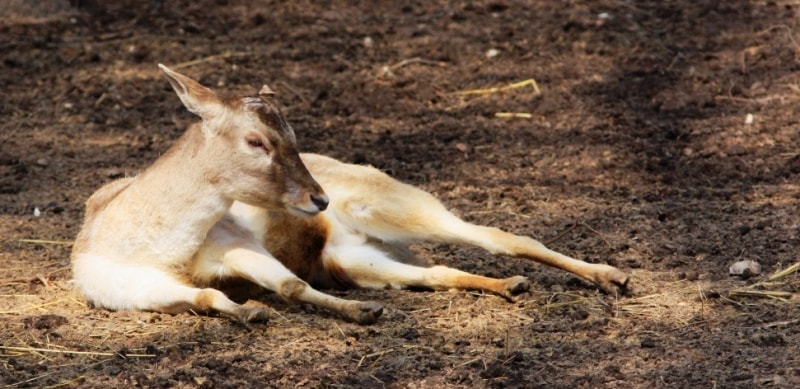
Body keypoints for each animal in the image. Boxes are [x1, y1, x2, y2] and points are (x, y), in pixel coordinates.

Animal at [72, 65, 628, 326]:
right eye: (256, 140)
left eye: (294, 133)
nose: (317, 200)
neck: (154, 246)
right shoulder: (131, 290)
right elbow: (211, 294)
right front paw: (254, 311)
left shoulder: (235, 240)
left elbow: (288, 282)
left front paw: (361, 313)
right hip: (354, 259)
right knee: (434, 271)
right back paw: (512, 286)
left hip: (392, 199)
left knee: (500, 235)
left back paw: (614, 275)